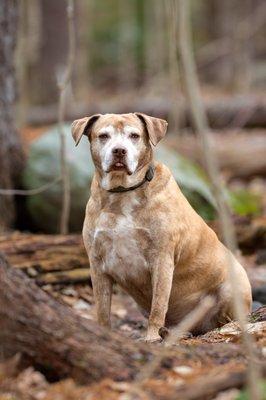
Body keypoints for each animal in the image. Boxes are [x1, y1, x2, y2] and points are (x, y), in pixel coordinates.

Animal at [70, 111, 251, 340]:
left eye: (134, 136)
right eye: (103, 136)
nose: (119, 151)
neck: (122, 193)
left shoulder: (162, 258)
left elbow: (158, 305)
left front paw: (152, 337)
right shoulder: (97, 263)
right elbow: (102, 310)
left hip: (231, 288)